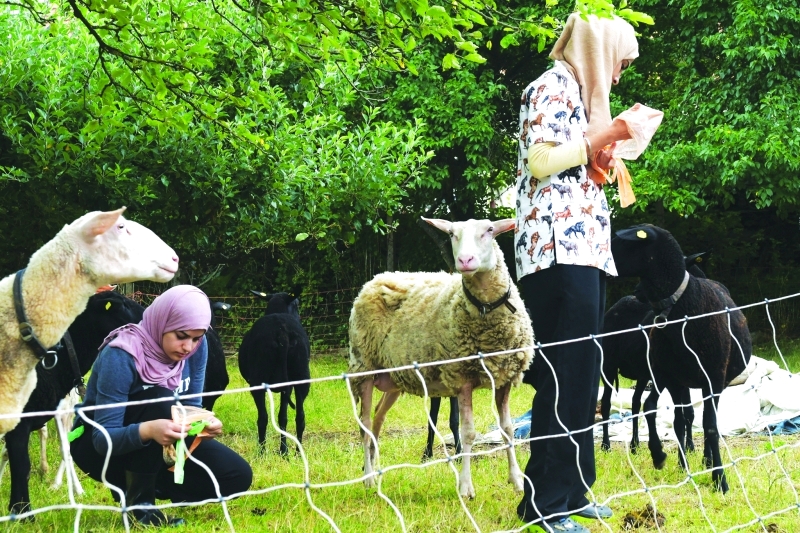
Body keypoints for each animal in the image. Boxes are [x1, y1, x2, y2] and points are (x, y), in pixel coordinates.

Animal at [238, 288, 310, 456]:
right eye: (297, 305)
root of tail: (281, 331)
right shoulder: (287, 387)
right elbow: (283, 417)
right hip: (301, 377)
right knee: (299, 416)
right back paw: (294, 452)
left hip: (258, 380)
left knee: (263, 417)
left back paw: (262, 452)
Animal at [346, 216, 536, 498]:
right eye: (451, 234)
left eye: (489, 230)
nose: (465, 260)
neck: (484, 311)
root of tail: (375, 279)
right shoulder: (462, 376)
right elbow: (467, 433)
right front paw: (466, 487)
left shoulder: (504, 379)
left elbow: (508, 431)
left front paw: (517, 481)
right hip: (364, 368)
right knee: (366, 424)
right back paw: (369, 479)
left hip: (393, 378)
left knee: (378, 420)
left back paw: (375, 470)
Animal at [608, 222, 752, 492]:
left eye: (620, 241)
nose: (636, 291)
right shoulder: (667, 375)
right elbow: (654, 409)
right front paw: (660, 456)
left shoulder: (713, 379)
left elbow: (710, 427)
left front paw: (719, 479)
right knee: (675, 416)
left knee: (704, 421)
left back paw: (707, 460)